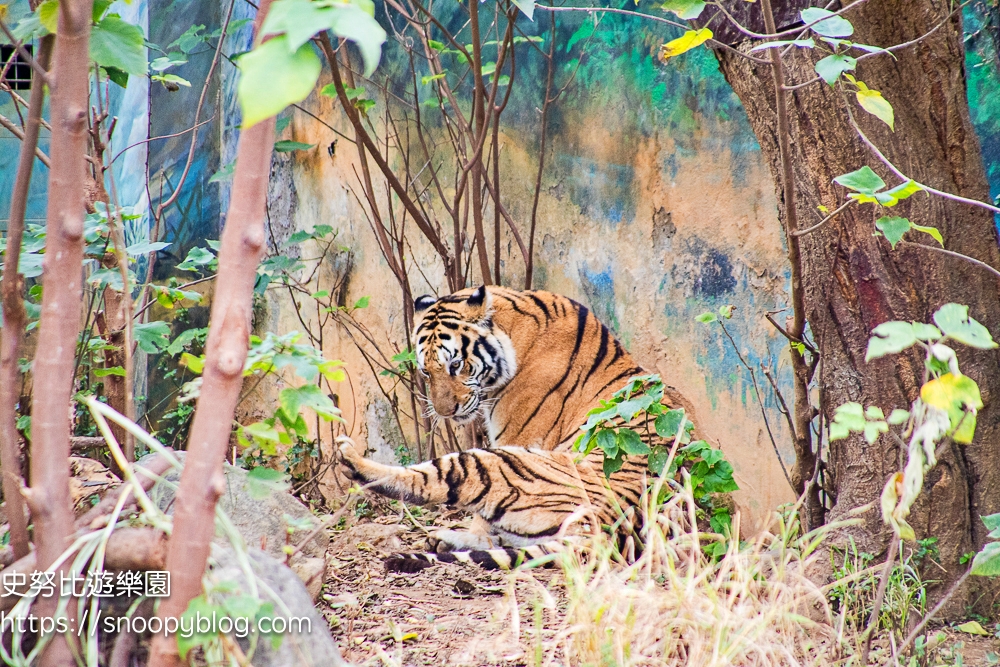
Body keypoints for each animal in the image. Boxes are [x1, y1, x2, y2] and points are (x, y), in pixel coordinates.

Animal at [336, 284, 696, 572]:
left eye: (456, 364)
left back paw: (350, 457)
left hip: (501, 462)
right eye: (426, 372)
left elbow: (481, 522)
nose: (445, 412)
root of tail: (608, 529)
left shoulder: (515, 435)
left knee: (427, 479)